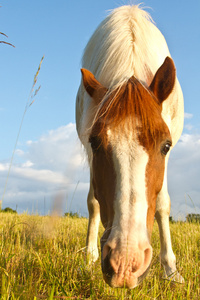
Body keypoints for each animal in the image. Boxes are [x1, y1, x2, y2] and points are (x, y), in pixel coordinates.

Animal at [75, 4, 184, 288]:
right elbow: (94, 202)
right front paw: (89, 259)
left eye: (165, 146)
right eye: (95, 142)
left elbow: (162, 205)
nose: (125, 263)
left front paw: (170, 269)